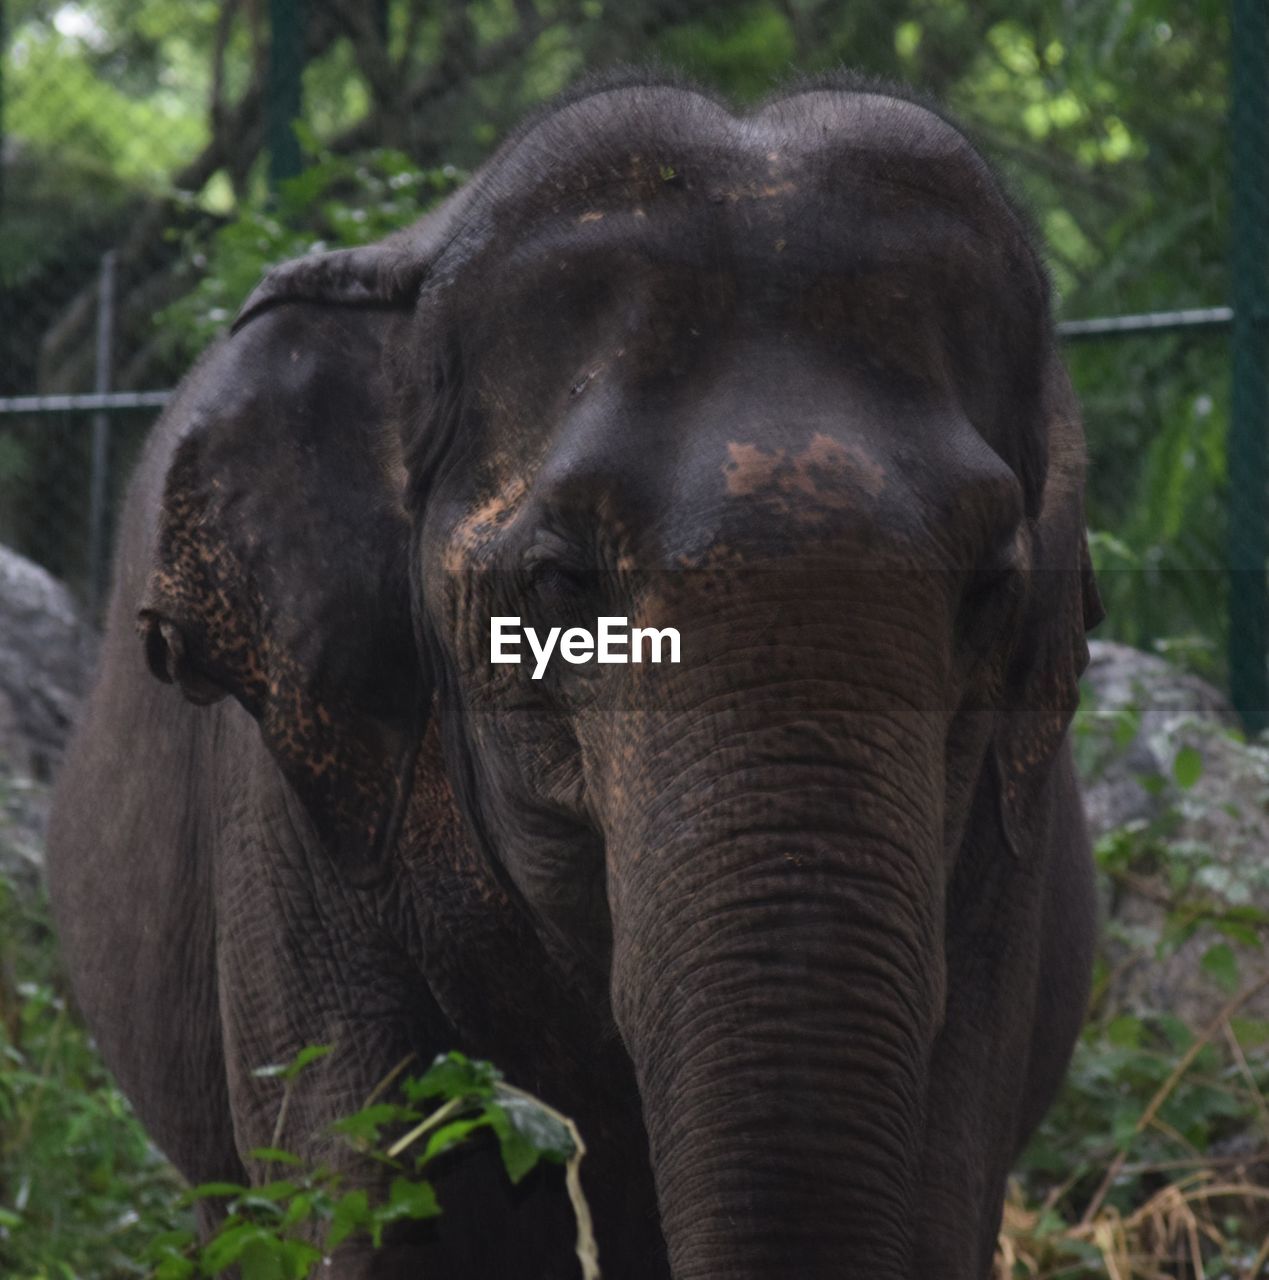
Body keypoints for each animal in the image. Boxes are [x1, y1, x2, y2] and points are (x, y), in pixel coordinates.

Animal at [47, 72, 1101, 1280]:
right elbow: (364, 1195)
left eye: (990, 592)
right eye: (558, 582)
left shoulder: (1000, 843)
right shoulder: (291, 812)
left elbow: (938, 1191)